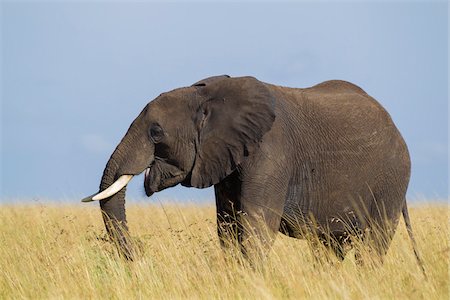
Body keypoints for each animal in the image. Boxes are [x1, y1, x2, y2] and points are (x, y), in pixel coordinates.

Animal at [82, 75, 424, 270]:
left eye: (155, 133)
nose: (139, 258)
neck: (207, 96)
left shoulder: (271, 154)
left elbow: (257, 227)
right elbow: (228, 226)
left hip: (392, 178)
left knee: (373, 243)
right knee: (328, 247)